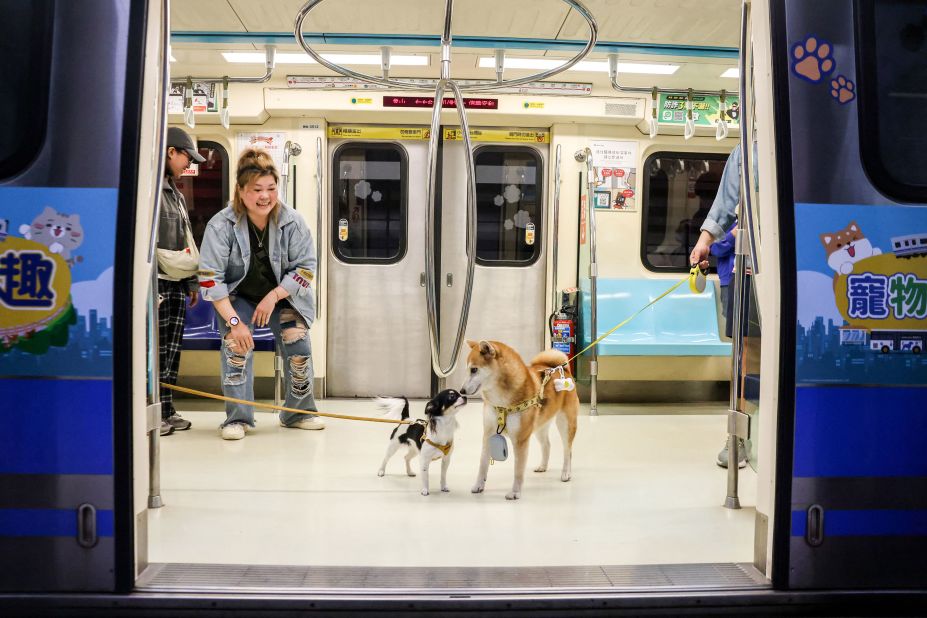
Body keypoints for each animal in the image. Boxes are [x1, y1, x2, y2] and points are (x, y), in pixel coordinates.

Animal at [458, 340, 576, 498]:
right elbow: (482, 465)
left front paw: (515, 492)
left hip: (565, 423)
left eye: (474, 370)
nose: (461, 391)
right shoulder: (488, 434)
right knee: (547, 445)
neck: (500, 402)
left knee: (567, 450)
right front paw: (478, 485)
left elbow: (518, 470)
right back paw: (543, 466)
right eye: (468, 370)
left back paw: (566, 473)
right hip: (540, 425)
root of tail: (561, 369)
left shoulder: (520, 440)